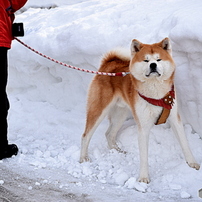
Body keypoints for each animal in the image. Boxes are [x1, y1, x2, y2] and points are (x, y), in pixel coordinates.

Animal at [79, 38, 200, 183]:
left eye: (158, 59)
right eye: (146, 60)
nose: (153, 65)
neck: (156, 93)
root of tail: (108, 63)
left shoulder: (175, 119)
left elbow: (184, 143)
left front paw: (192, 163)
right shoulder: (143, 126)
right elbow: (144, 156)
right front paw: (143, 177)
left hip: (120, 115)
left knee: (109, 134)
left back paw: (117, 150)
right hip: (98, 110)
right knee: (85, 135)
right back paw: (83, 158)